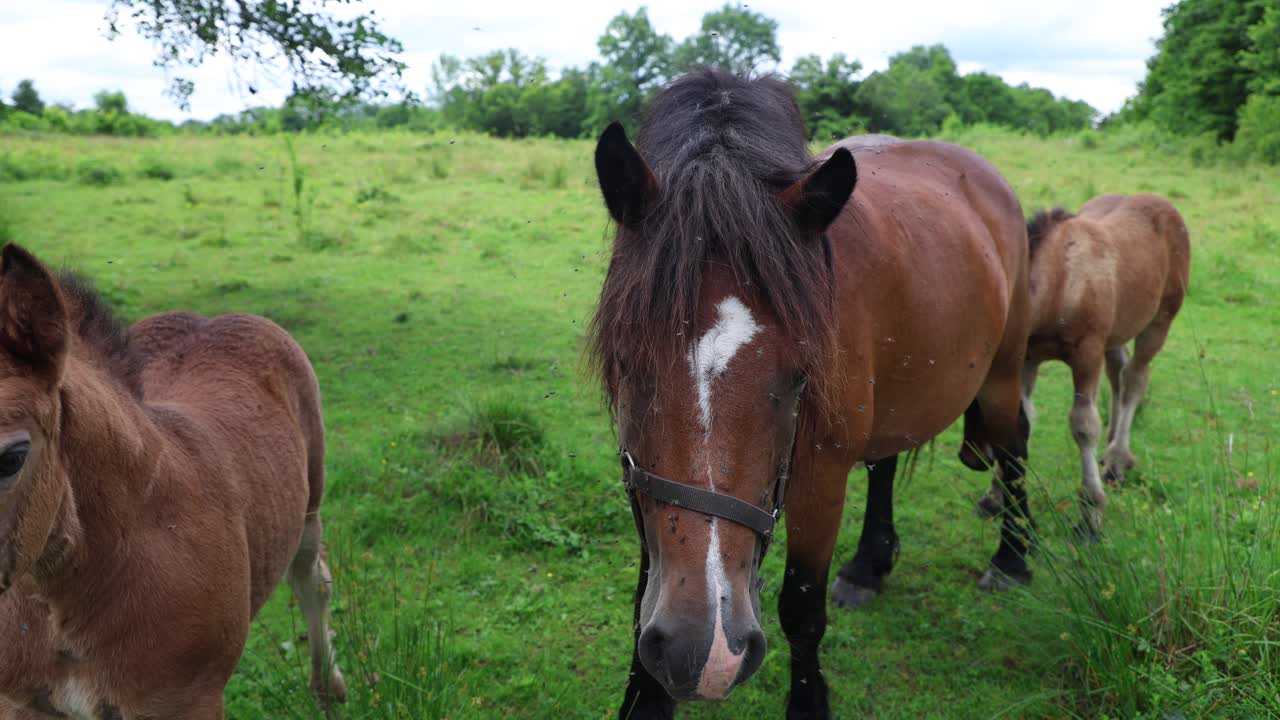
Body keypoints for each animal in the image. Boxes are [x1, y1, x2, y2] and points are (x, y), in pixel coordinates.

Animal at [0, 244, 344, 718]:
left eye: (11, 457)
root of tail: (212, 318)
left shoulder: (182, 700)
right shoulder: (21, 703)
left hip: (310, 504)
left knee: (311, 578)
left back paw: (328, 687)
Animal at [590, 70, 1031, 719]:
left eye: (800, 373)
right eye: (627, 359)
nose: (706, 651)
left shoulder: (820, 479)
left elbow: (801, 610)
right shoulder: (639, 477)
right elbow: (646, 591)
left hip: (1002, 371)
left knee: (1015, 441)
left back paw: (1013, 559)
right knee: (885, 461)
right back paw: (870, 566)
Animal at [972, 195, 1190, 541]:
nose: (974, 457)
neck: (1061, 282)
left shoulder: (1087, 354)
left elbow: (1084, 425)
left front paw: (1090, 514)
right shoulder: (1027, 357)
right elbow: (1021, 419)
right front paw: (995, 496)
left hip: (1158, 321)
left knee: (1135, 379)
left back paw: (1117, 460)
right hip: (1116, 331)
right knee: (1119, 373)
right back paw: (1111, 447)